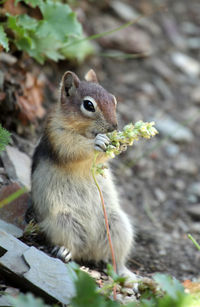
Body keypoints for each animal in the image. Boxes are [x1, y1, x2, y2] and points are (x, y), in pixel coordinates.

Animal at [31, 69, 137, 282]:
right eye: (89, 105)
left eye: (113, 100)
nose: (114, 127)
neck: (85, 132)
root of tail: (90, 252)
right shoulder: (57, 134)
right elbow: (72, 147)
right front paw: (98, 142)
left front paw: (120, 143)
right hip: (62, 221)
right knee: (73, 247)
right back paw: (64, 251)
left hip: (118, 225)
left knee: (116, 259)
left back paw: (127, 274)